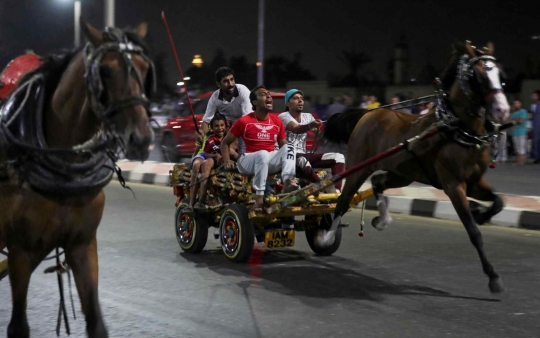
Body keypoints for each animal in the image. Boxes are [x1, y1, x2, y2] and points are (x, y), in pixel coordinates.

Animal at [0, 19, 154, 338]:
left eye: (145, 68)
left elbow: (96, 322)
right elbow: (18, 326)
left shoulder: (82, 245)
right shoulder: (21, 250)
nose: (142, 139)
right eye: (104, 70)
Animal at [320, 41, 510, 294]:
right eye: (478, 76)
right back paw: (327, 237)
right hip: (358, 169)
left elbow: (499, 202)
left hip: (402, 174)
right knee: (342, 201)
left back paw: (382, 220)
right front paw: (493, 276)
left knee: (378, 182)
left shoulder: (474, 181)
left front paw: (480, 212)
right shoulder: (453, 185)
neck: (456, 129)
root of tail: (368, 114)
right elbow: (473, 232)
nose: (502, 110)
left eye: (500, 74)